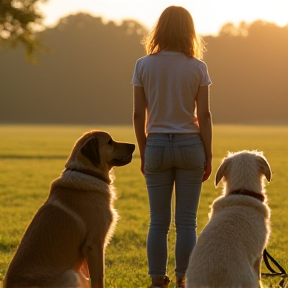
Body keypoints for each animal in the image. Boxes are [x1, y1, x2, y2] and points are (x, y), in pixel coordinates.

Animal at [3, 130, 135, 288]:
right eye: (109, 142)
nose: (134, 145)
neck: (86, 171)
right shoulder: (94, 244)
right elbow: (98, 278)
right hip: (72, 274)